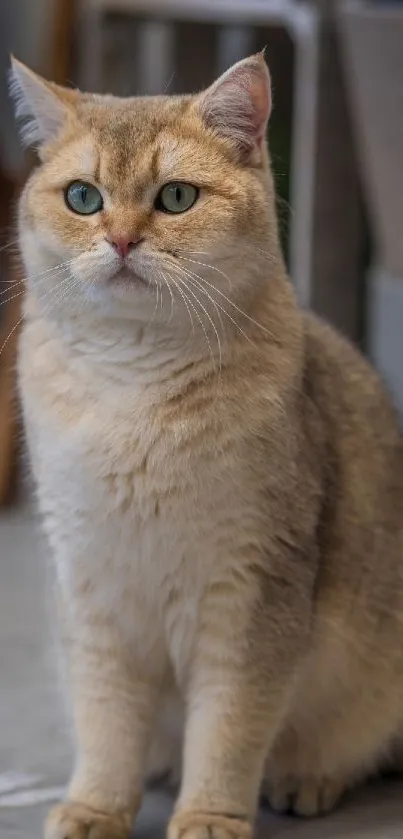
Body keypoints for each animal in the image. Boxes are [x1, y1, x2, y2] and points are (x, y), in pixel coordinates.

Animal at [8, 52, 403, 839]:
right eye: (83, 197)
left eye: (176, 197)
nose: (122, 240)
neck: (132, 391)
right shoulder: (90, 586)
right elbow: (104, 719)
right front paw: (97, 806)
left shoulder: (251, 591)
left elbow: (229, 725)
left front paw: (210, 817)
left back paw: (306, 778)